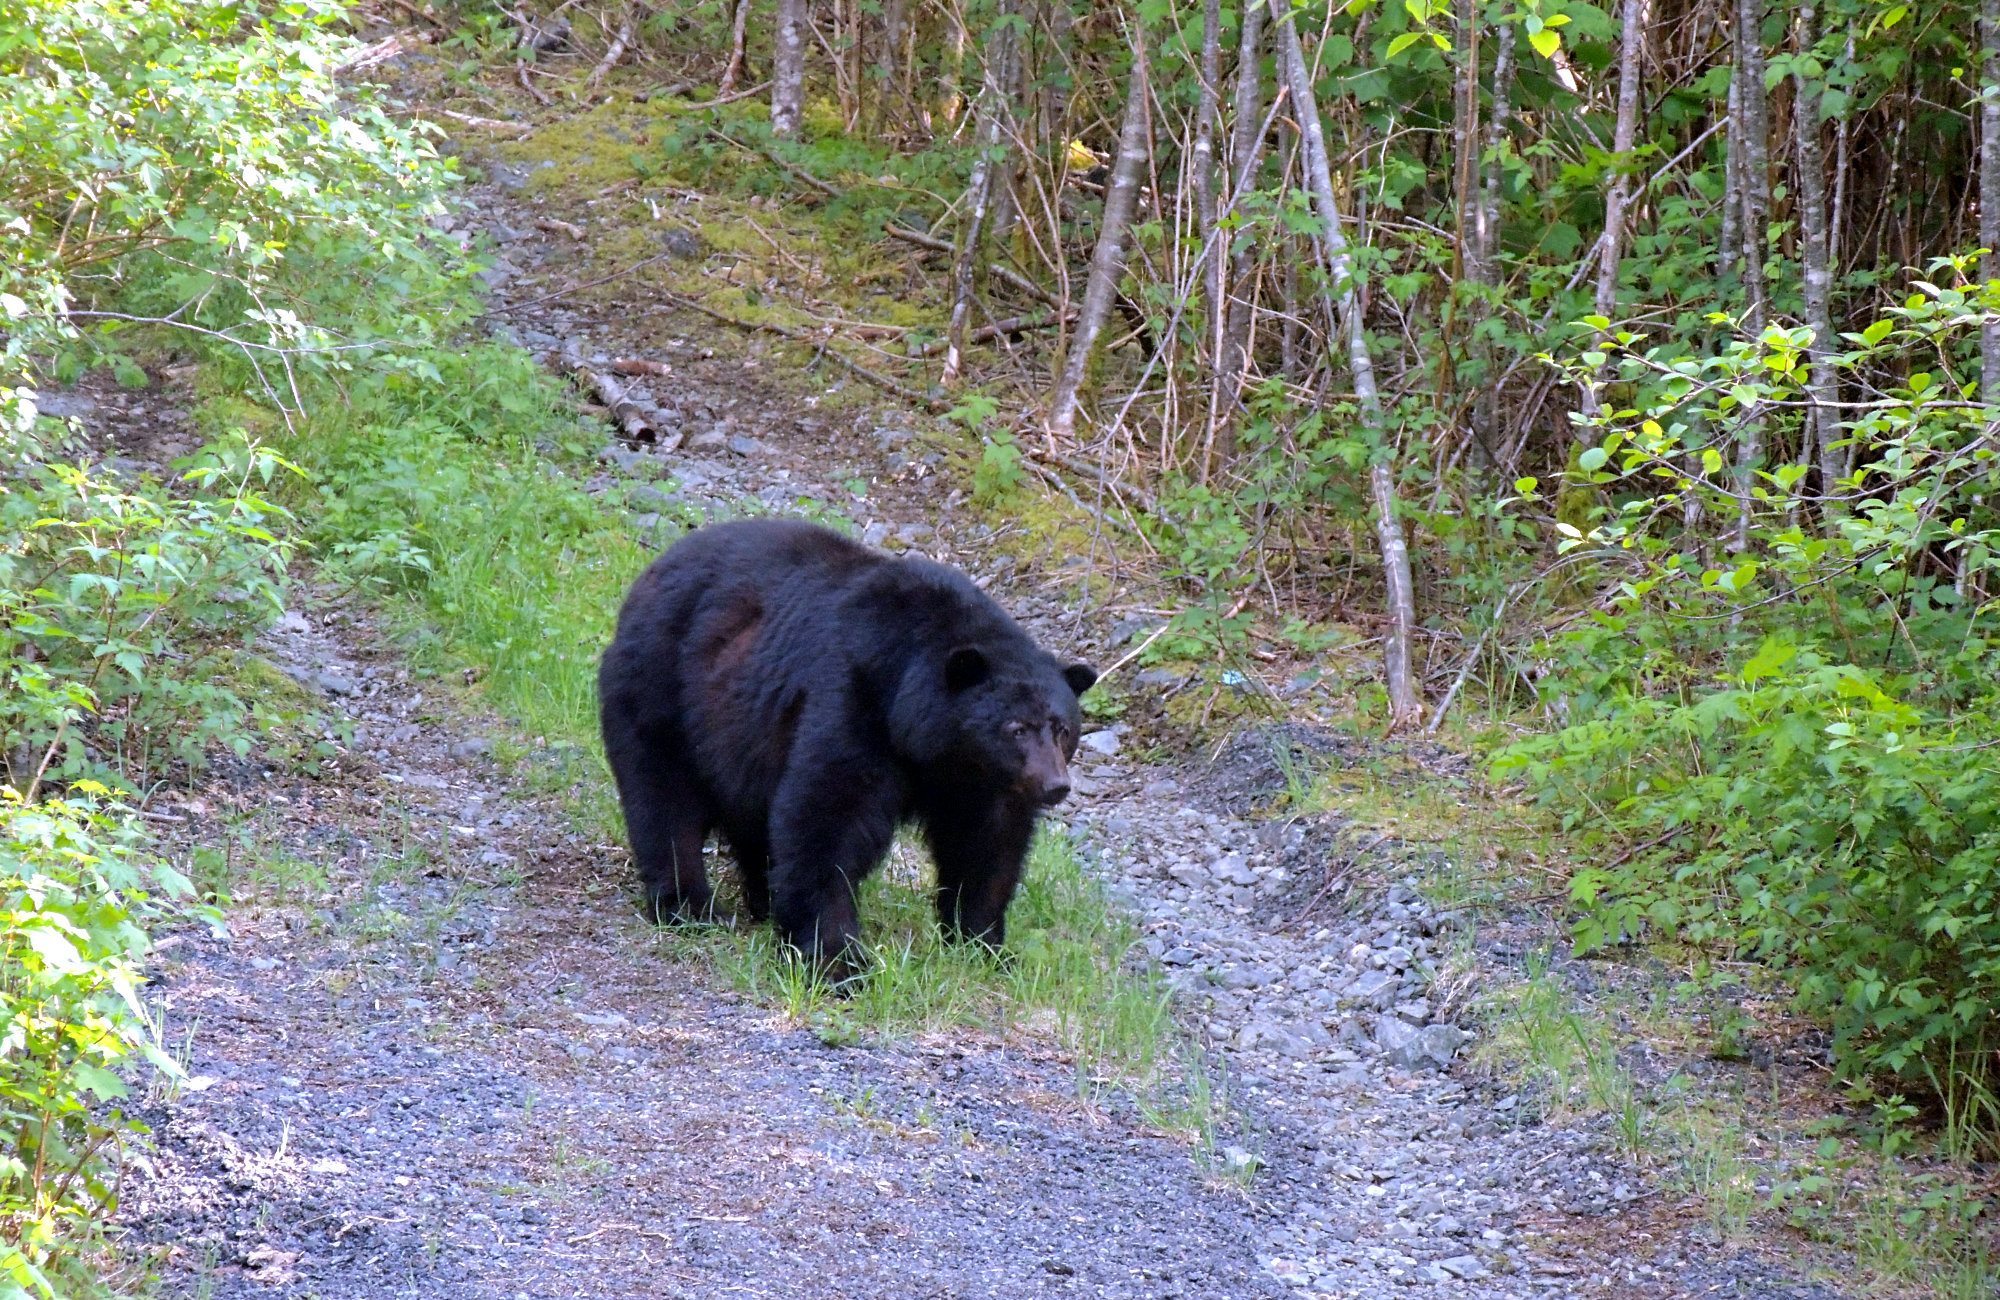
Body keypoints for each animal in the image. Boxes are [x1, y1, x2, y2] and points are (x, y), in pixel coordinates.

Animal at [596, 516, 1096, 972]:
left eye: (1062, 728)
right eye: (1016, 727)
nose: (1055, 785)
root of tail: (652, 570)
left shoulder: (981, 783)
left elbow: (986, 846)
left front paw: (985, 945)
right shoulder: (854, 700)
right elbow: (828, 815)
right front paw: (837, 957)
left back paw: (761, 900)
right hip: (662, 687)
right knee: (665, 797)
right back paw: (689, 905)